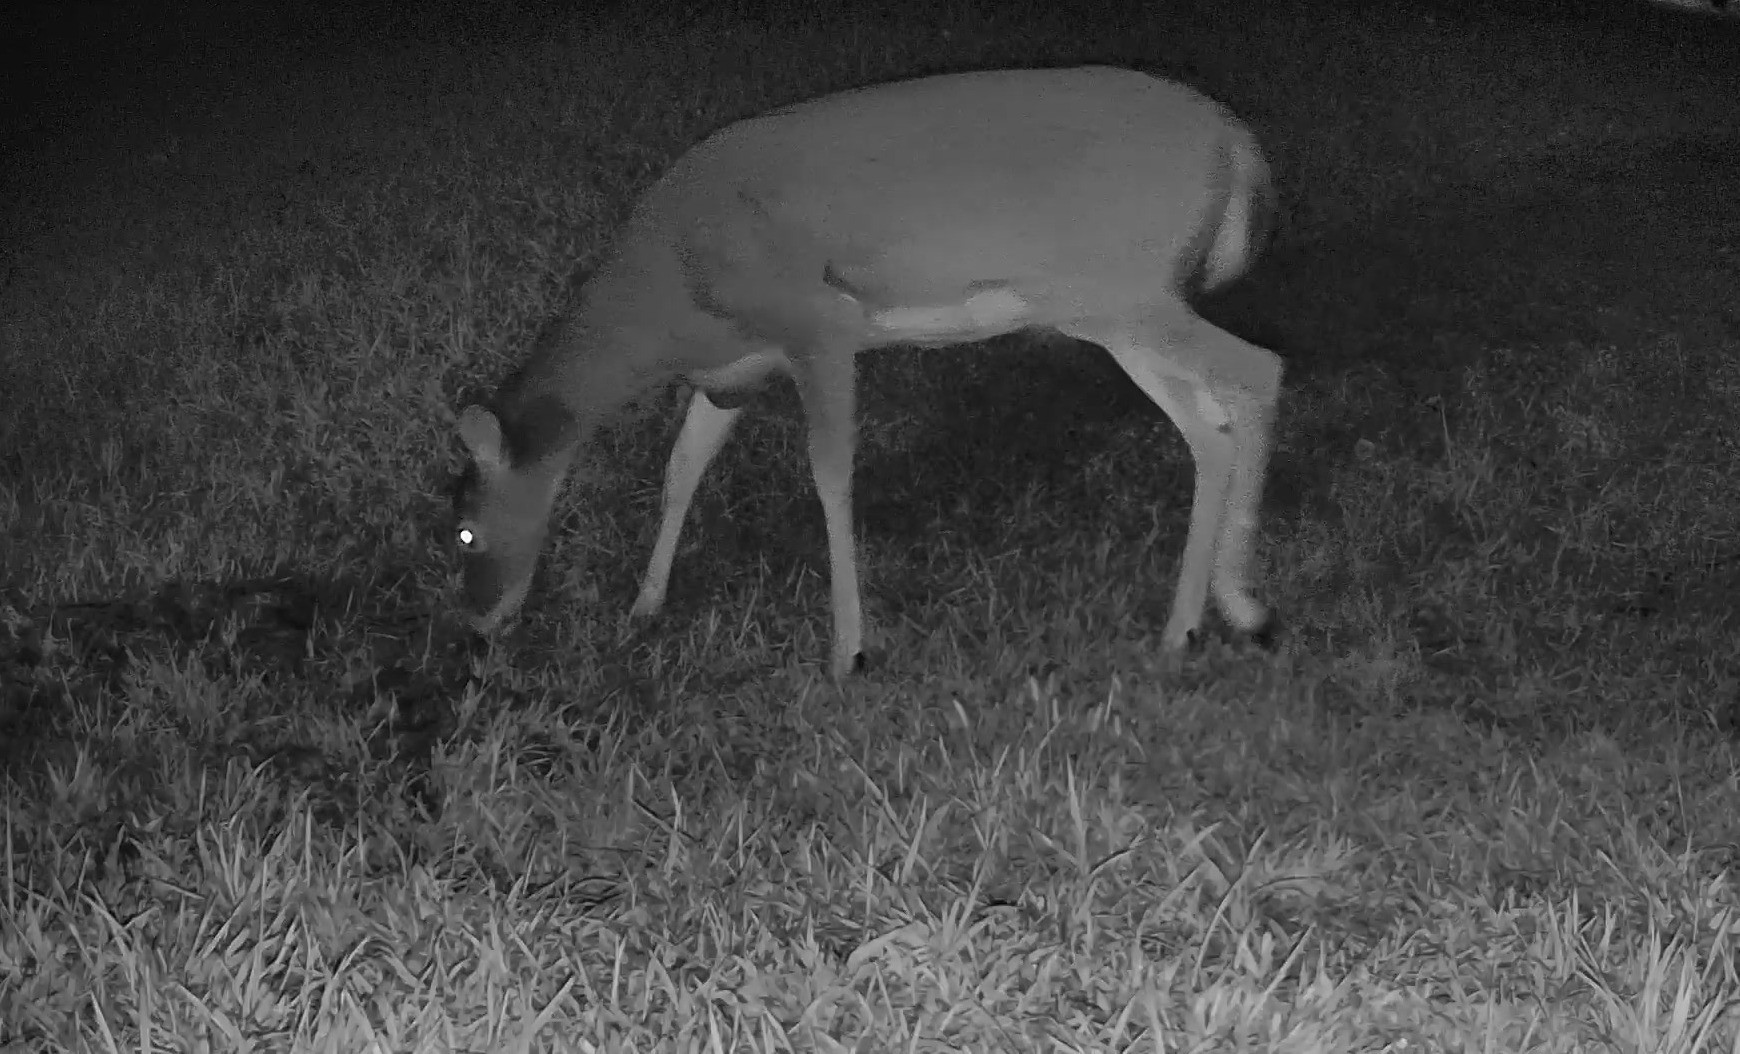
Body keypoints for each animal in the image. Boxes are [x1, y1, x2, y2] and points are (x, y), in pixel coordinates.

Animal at [453, 66, 1283, 679]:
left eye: (462, 533)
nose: (477, 626)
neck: (669, 295)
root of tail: (1239, 141)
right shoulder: (735, 371)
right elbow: (681, 468)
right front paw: (643, 608)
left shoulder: (817, 324)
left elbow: (830, 473)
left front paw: (847, 651)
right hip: (1114, 308)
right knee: (1210, 427)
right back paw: (1203, 616)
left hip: (1122, 290)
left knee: (1258, 370)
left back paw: (1231, 611)